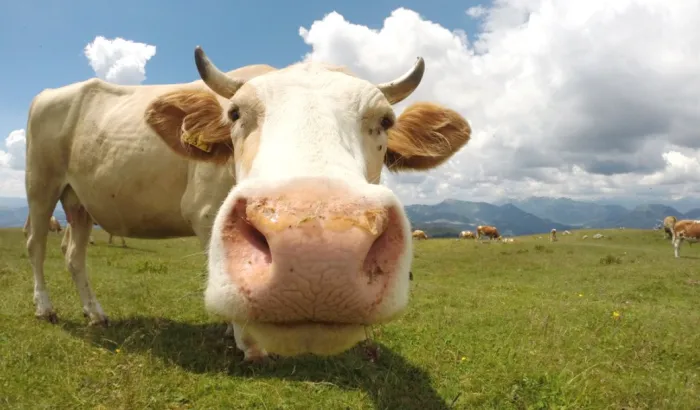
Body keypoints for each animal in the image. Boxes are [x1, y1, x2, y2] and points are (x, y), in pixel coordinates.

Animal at [23, 46, 471, 362]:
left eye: (385, 121)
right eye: (235, 114)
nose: (319, 259)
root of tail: (50, 92)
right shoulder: (204, 211)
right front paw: (247, 342)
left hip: (79, 202)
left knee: (73, 253)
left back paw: (95, 313)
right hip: (40, 185)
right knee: (36, 244)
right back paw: (45, 308)